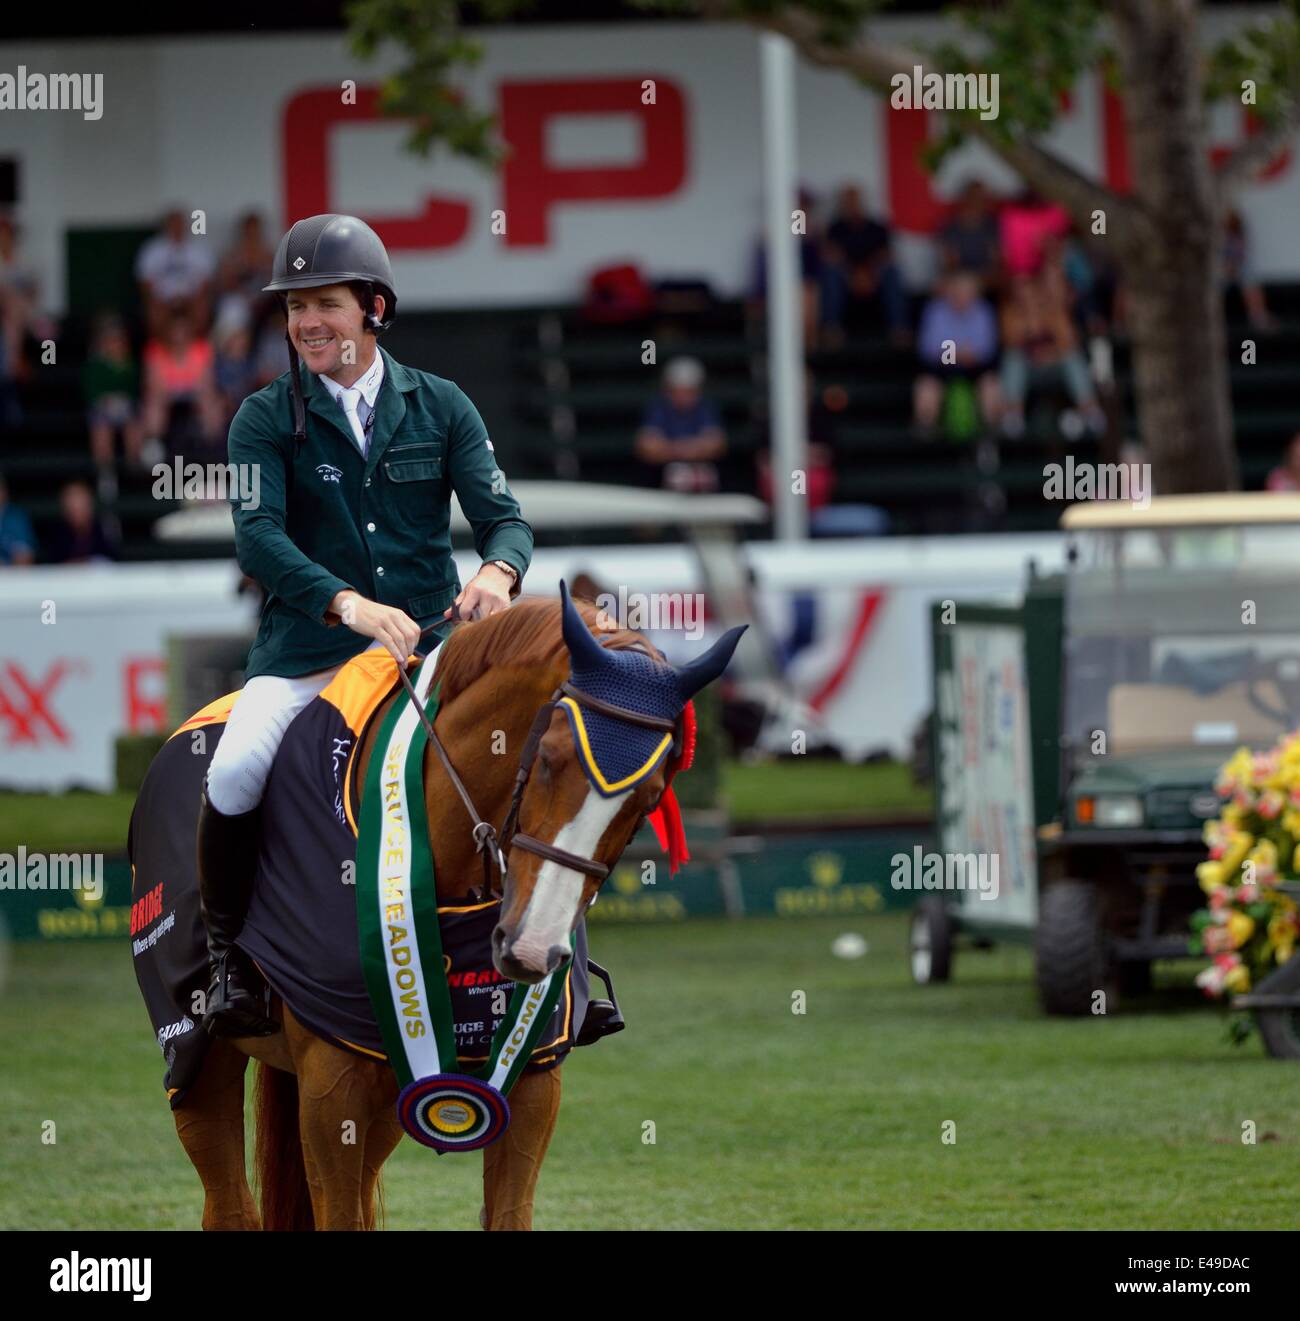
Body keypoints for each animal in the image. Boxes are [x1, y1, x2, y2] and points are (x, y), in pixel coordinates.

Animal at [162, 594, 739, 1231]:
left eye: (650, 797)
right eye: (547, 759)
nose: (531, 948)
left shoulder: (530, 1084)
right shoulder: (329, 1086)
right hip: (198, 1055)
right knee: (226, 1196)